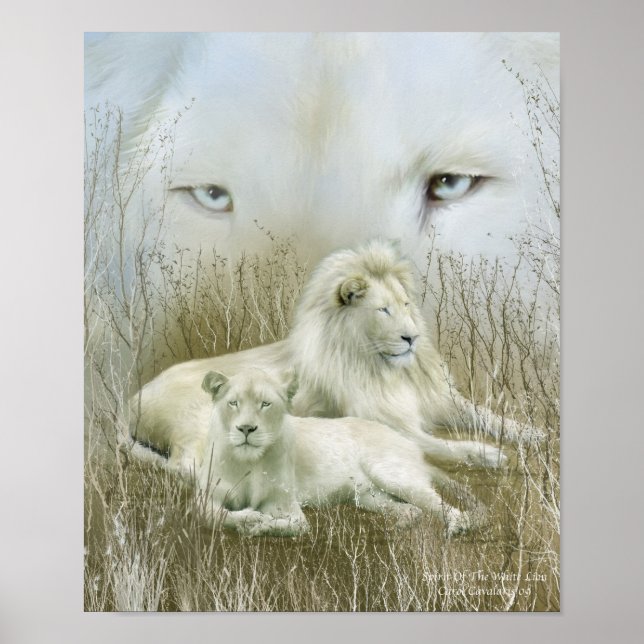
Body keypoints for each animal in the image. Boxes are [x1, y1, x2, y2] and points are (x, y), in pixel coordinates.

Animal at [130, 240, 525, 472]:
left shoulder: (437, 400)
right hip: (201, 420)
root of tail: (134, 400)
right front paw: (489, 455)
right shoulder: (388, 424)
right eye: (382, 310)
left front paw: (527, 432)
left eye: (405, 304)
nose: (411, 338)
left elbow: (483, 414)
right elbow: (443, 447)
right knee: (186, 466)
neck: (387, 369)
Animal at [196, 368, 476, 538]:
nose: (246, 428)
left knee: (443, 506)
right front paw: (249, 519)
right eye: (233, 403)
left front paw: (259, 523)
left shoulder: (287, 506)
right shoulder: (204, 498)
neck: (247, 462)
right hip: (369, 497)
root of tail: (408, 442)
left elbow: (293, 525)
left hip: (394, 476)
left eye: (265, 404)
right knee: (411, 509)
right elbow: (212, 515)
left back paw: (456, 528)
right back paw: (400, 525)